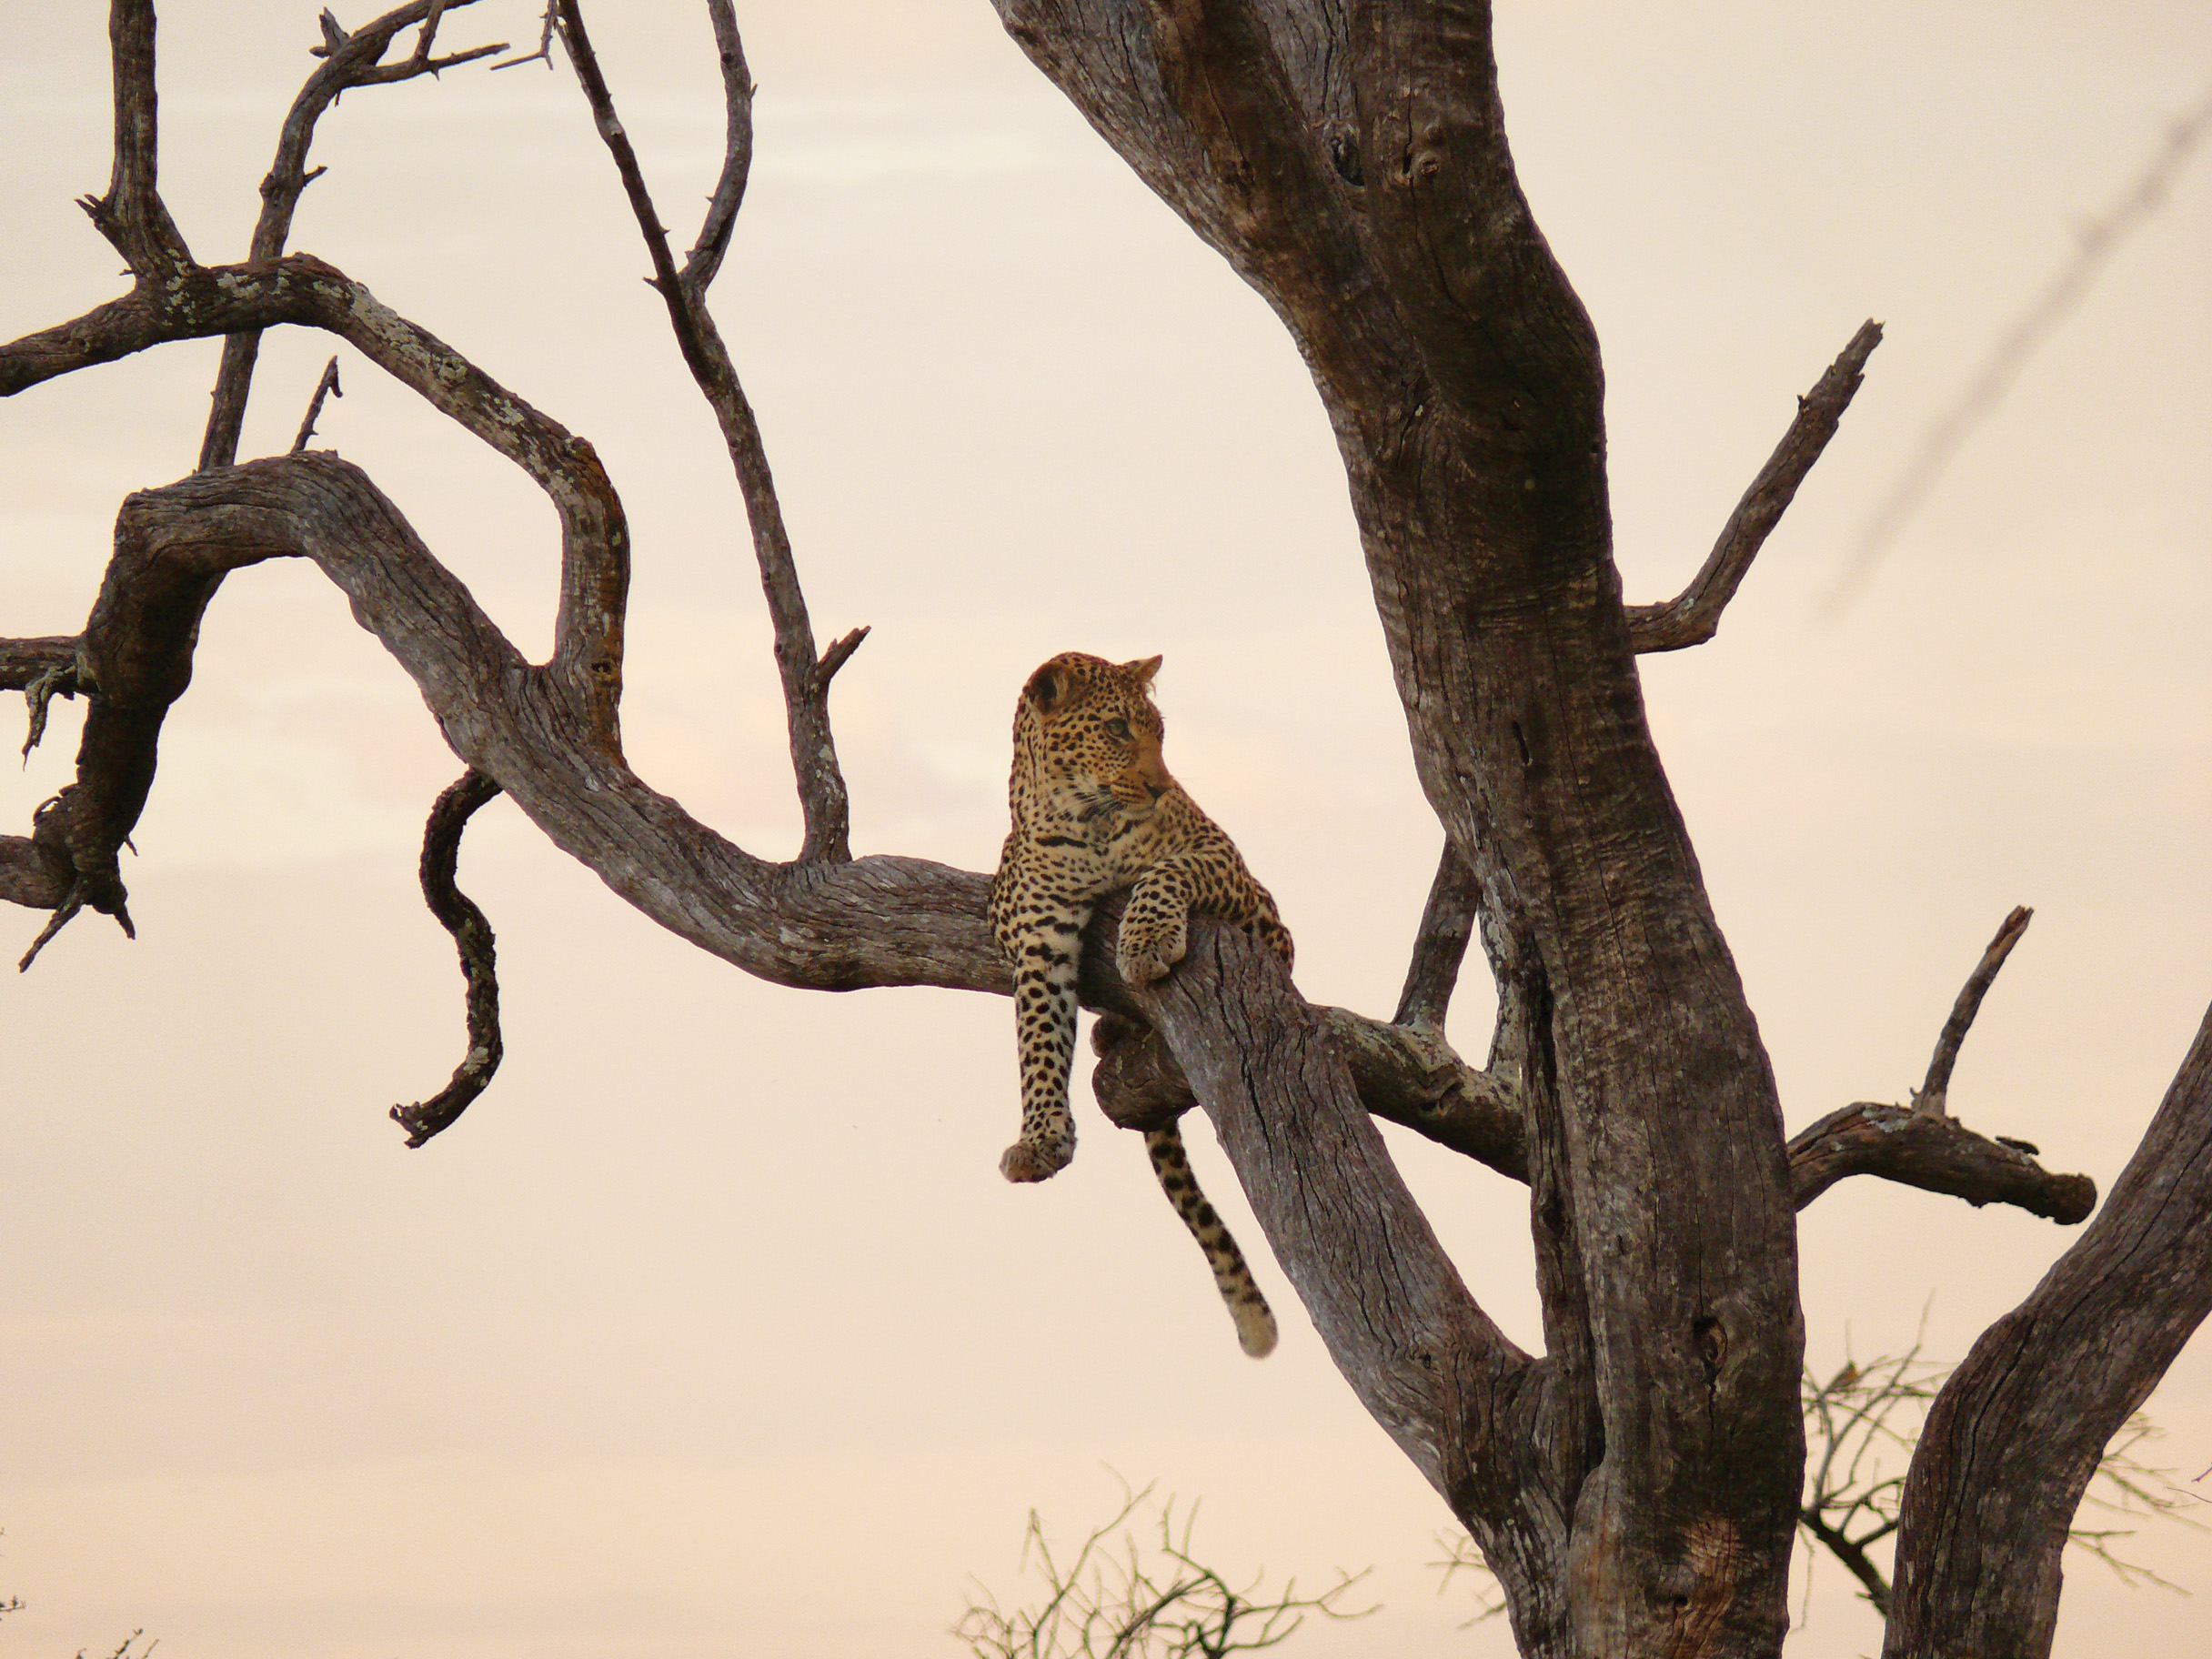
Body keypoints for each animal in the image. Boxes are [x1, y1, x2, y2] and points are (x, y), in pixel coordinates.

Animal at [987, 650, 1293, 1358]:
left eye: (1158, 731)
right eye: (1117, 729)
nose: (1159, 785)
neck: (1080, 820)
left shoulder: (1241, 884)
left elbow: (1166, 869)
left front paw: (1146, 939)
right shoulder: (1037, 939)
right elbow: (1037, 1042)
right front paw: (1042, 1138)